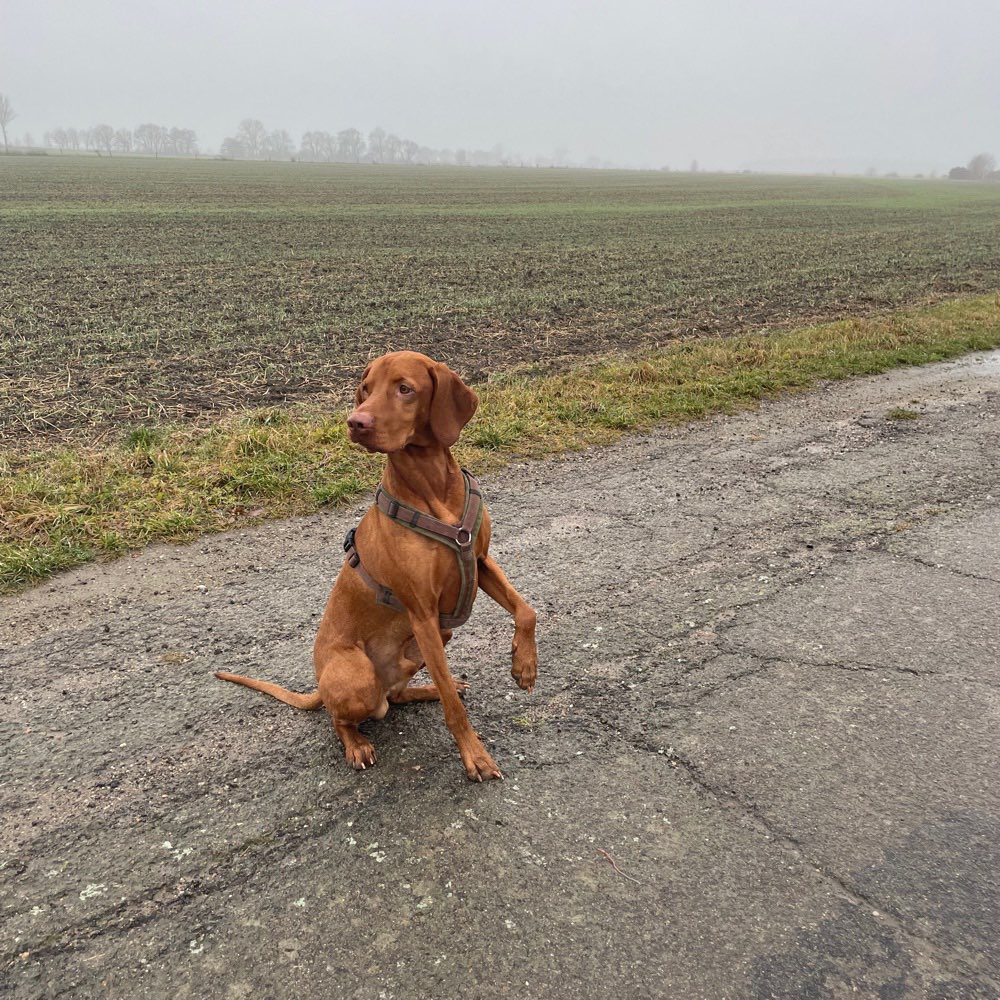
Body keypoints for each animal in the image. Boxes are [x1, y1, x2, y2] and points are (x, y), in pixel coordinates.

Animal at [215, 352, 536, 780]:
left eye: (405, 388)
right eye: (365, 389)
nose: (355, 421)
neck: (433, 488)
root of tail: (320, 685)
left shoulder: (479, 562)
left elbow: (527, 610)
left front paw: (524, 666)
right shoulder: (422, 613)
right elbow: (454, 710)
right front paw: (476, 755)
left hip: (435, 639)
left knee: (398, 695)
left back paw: (426, 690)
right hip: (361, 675)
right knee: (341, 718)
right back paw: (357, 744)